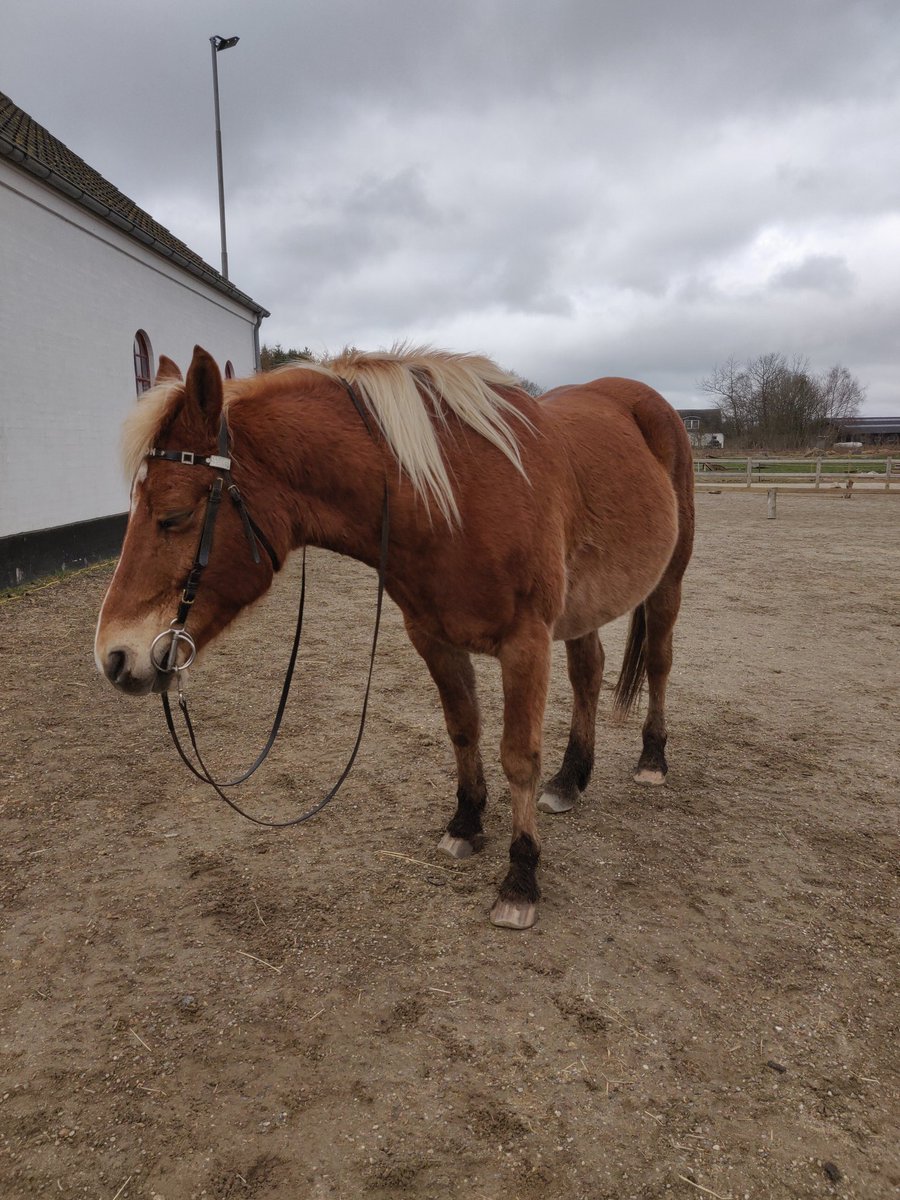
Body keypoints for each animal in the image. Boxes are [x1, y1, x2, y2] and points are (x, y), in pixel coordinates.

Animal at [95, 345, 694, 929]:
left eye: (174, 515)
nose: (114, 658)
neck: (456, 495)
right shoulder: (433, 639)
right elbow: (463, 731)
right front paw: (466, 824)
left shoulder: (525, 645)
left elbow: (519, 756)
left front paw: (520, 879)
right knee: (588, 671)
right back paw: (570, 780)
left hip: (668, 580)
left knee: (660, 662)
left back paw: (652, 760)